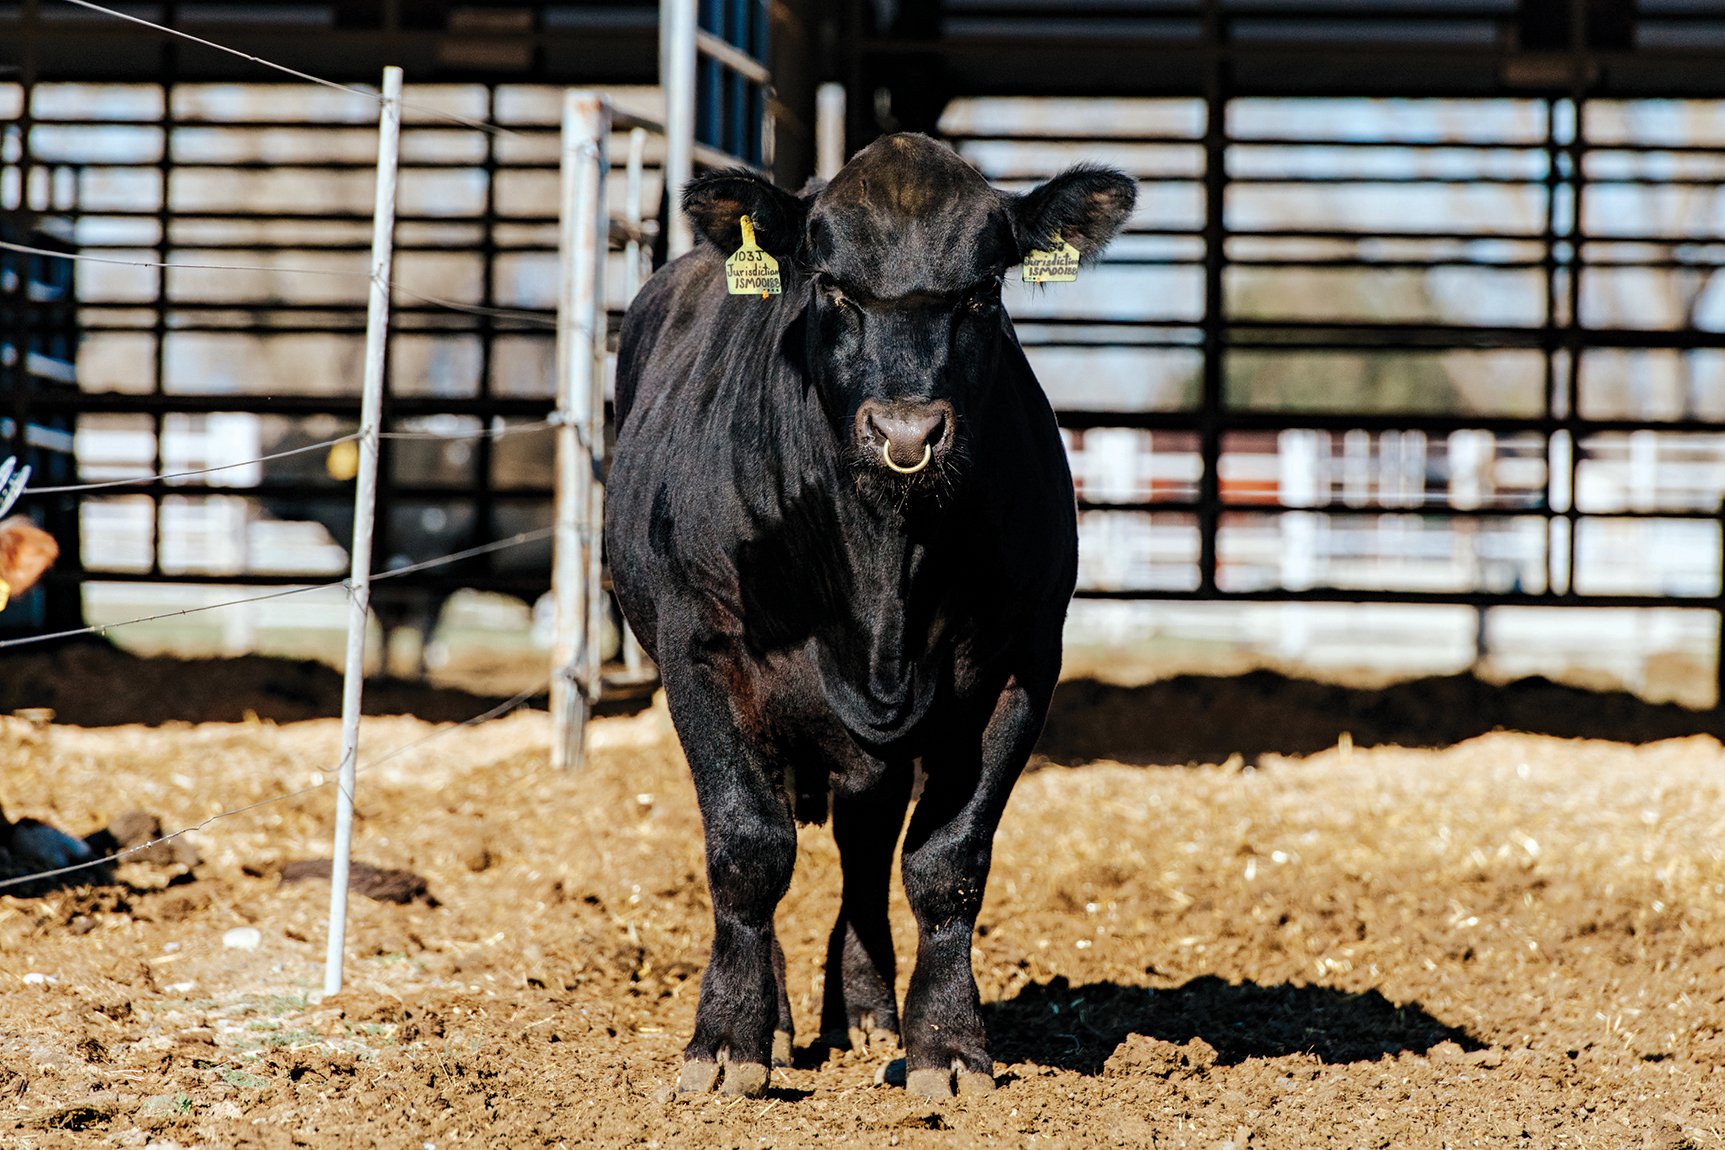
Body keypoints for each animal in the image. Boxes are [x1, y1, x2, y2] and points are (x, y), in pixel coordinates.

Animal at [604, 133, 1135, 1100]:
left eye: (982, 291)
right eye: (832, 286)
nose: (907, 433)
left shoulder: (1021, 664)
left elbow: (947, 862)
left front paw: (947, 1046)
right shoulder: (699, 648)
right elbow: (746, 845)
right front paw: (727, 1042)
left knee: (864, 842)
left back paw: (863, 1012)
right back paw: (781, 1023)